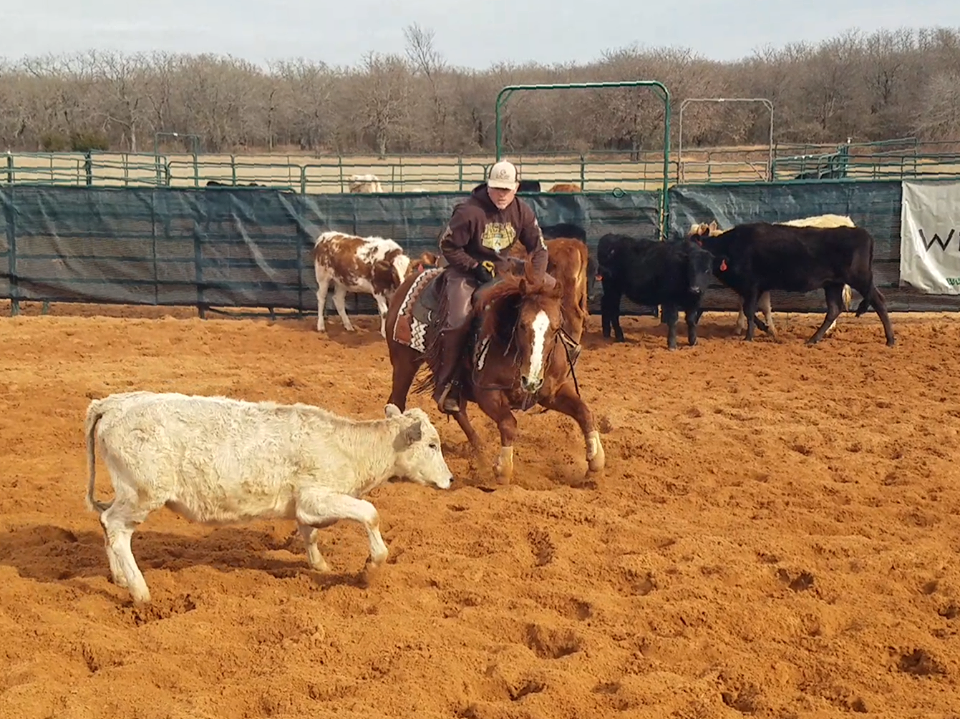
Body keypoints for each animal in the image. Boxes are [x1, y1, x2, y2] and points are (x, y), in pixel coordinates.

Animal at [84, 391, 453, 604]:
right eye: (432, 444)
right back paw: (140, 591)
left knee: (106, 523)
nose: (451, 479)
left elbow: (310, 532)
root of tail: (111, 403)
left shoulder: (306, 505)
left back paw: (119, 578)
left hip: (130, 493)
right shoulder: (317, 496)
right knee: (115, 527)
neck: (348, 447)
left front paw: (320, 566)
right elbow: (369, 512)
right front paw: (371, 567)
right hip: (142, 493)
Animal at [384, 256, 605, 483]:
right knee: (397, 402)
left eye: (556, 326)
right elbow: (508, 423)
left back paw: (480, 450)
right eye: (522, 324)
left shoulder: (552, 391)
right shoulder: (487, 393)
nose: (531, 381)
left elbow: (585, 412)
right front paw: (502, 469)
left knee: (456, 408)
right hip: (404, 362)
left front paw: (595, 460)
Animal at [692, 222, 895, 346]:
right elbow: (755, 310)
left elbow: (750, 310)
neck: (729, 247)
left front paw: (749, 337)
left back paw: (890, 339)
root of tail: (862, 233)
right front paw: (767, 330)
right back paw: (813, 339)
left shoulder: (751, 285)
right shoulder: (756, 288)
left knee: (879, 301)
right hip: (833, 284)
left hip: (860, 279)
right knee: (834, 309)